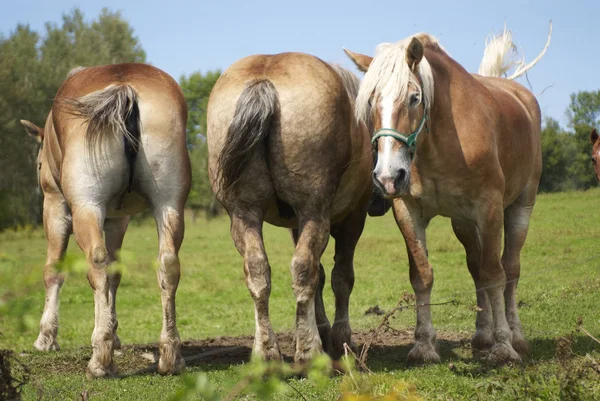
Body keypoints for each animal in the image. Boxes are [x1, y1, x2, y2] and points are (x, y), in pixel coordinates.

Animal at [21, 63, 190, 378]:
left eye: (38, 165)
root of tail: (125, 87)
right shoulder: (116, 219)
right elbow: (115, 273)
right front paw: (113, 330)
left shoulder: (55, 204)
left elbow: (54, 269)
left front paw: (46, 337)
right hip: (169, 205)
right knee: (167, 264)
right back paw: (170, 356)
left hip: (85, 207)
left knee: (96, 262)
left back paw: (100, 359)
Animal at [209, 51, 372, 360]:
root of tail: (263, 82)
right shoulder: (352, 219)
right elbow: (341, 278)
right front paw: (340, 339)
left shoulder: (296, 225)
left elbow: (321, 277)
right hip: (314, 213)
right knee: (304, 268)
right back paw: (309, 352)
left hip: (244, 215)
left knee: (258, 271)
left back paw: (267, 352)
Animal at [344, 26, 552, 364]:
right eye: (371, 101)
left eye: (414, 97)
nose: (388, 177)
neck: (440, 143)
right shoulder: (409, 211)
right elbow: (423, 275)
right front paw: (424, 345)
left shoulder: (490, 208)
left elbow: (495, 274)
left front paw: (503, 345)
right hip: (463, 223)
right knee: (476, 267)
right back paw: (482, 334)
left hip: (521, 206)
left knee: (510, 268)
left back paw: (516, 336)